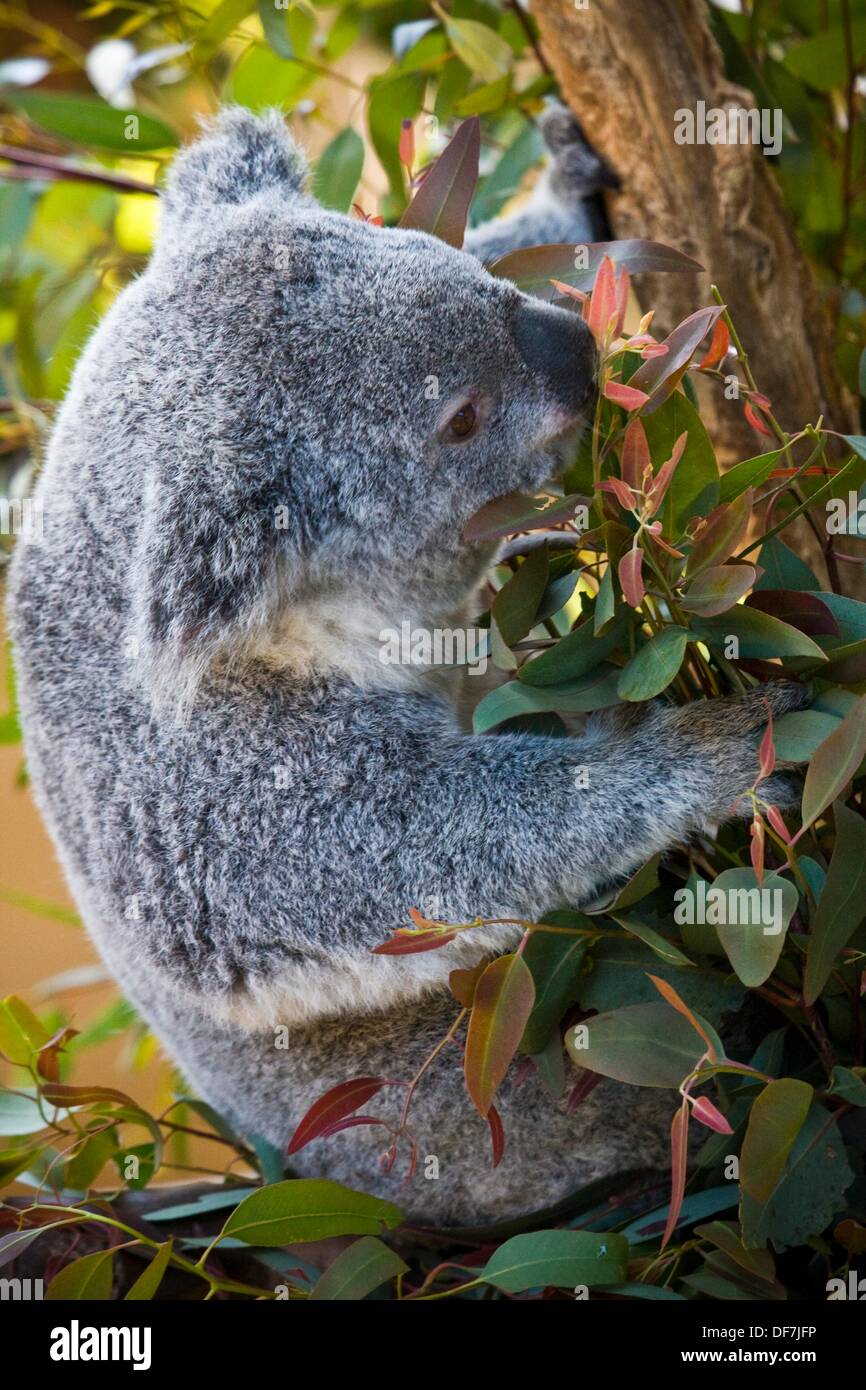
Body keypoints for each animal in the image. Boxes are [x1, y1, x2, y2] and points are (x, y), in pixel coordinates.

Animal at [7, 106, 807, 1228]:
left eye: (466, 271)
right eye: (459, 421)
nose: (576, 348)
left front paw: (562, 186)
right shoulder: (224, 771)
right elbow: (395, 852)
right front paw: (707, 751)